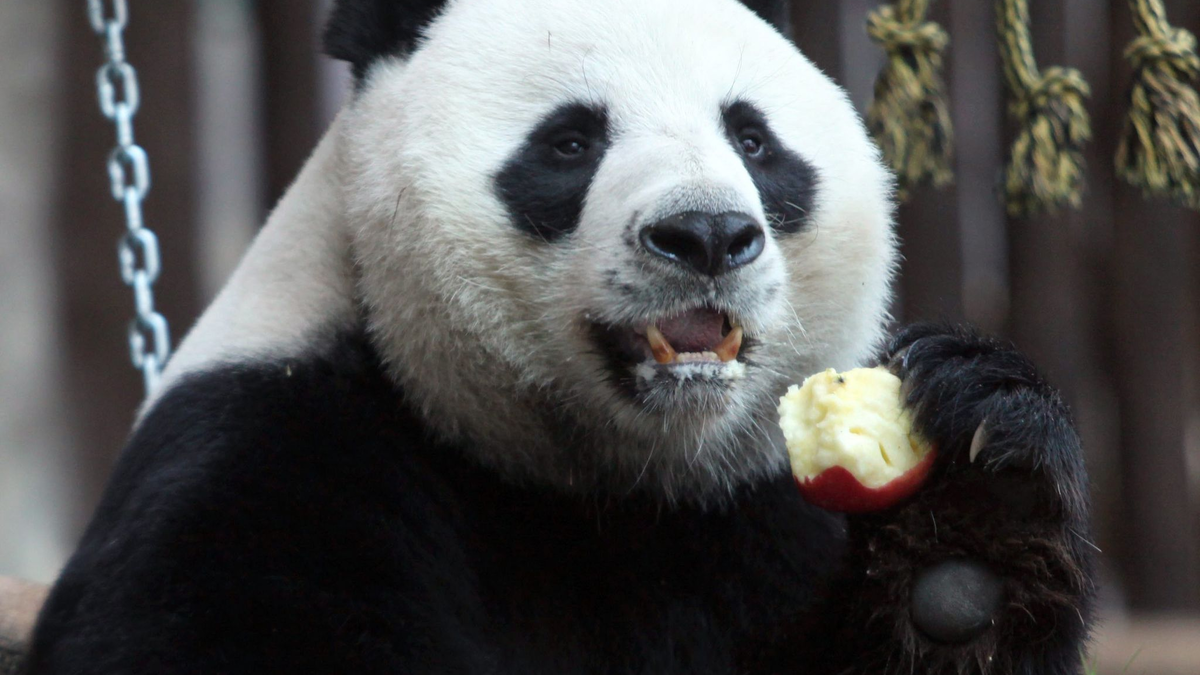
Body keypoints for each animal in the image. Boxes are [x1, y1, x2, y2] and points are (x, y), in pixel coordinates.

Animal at [27, 0, 1095, 673]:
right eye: (572, 141)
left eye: (752, 139)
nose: (707, 234)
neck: (606, 480)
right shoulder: (268, 454)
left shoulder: (754, 515)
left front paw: (969, 539)